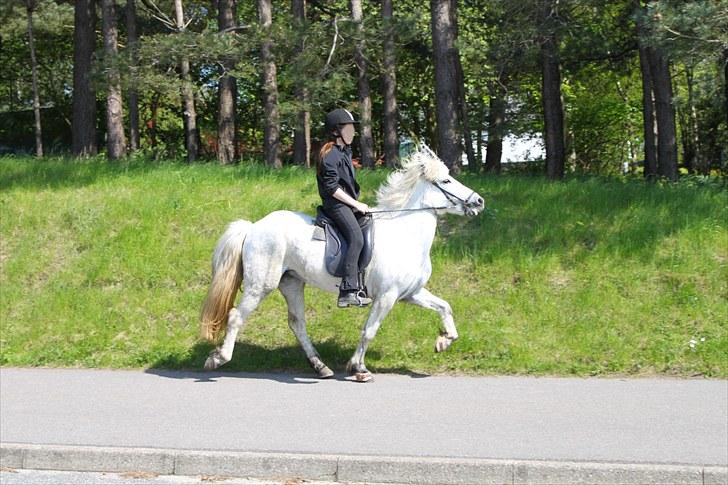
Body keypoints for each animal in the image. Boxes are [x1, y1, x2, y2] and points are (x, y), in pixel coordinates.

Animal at [199, 146, 484, 380]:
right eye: (445, 180)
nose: (478, 201)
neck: (406, 235)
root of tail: (253, 227)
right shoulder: (387, 297)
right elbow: (369, 330)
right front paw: (358, 368)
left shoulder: (411, 293)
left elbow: (445, 307)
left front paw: (444, 341)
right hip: (261, 285)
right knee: (236, 317)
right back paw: (218, 358)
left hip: (292, 283)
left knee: (297, 323)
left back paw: (320, 366)